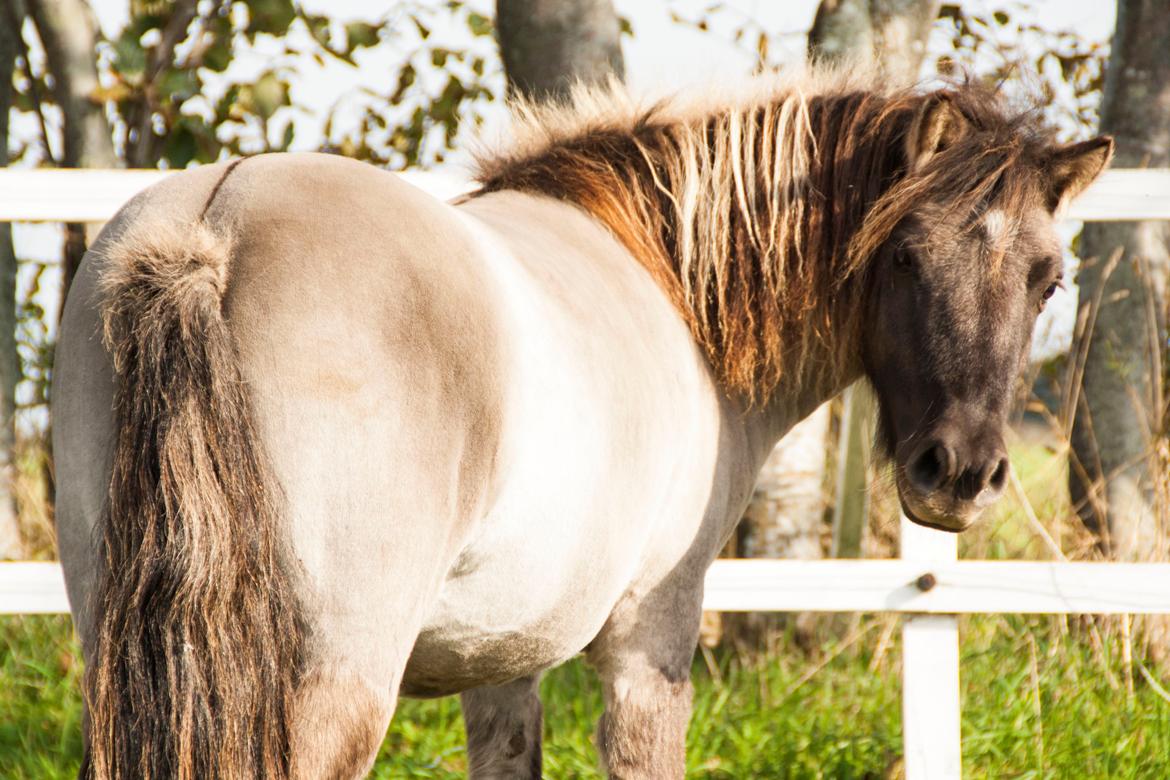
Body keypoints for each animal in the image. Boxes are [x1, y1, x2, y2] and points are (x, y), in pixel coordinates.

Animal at [53, 69, 1111, 779]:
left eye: (1049, 281)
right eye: (903, 257)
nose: (960, 473)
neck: (676, 291)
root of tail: (209, 230)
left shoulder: (496, 662)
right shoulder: (653, 642)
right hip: (328, 690)